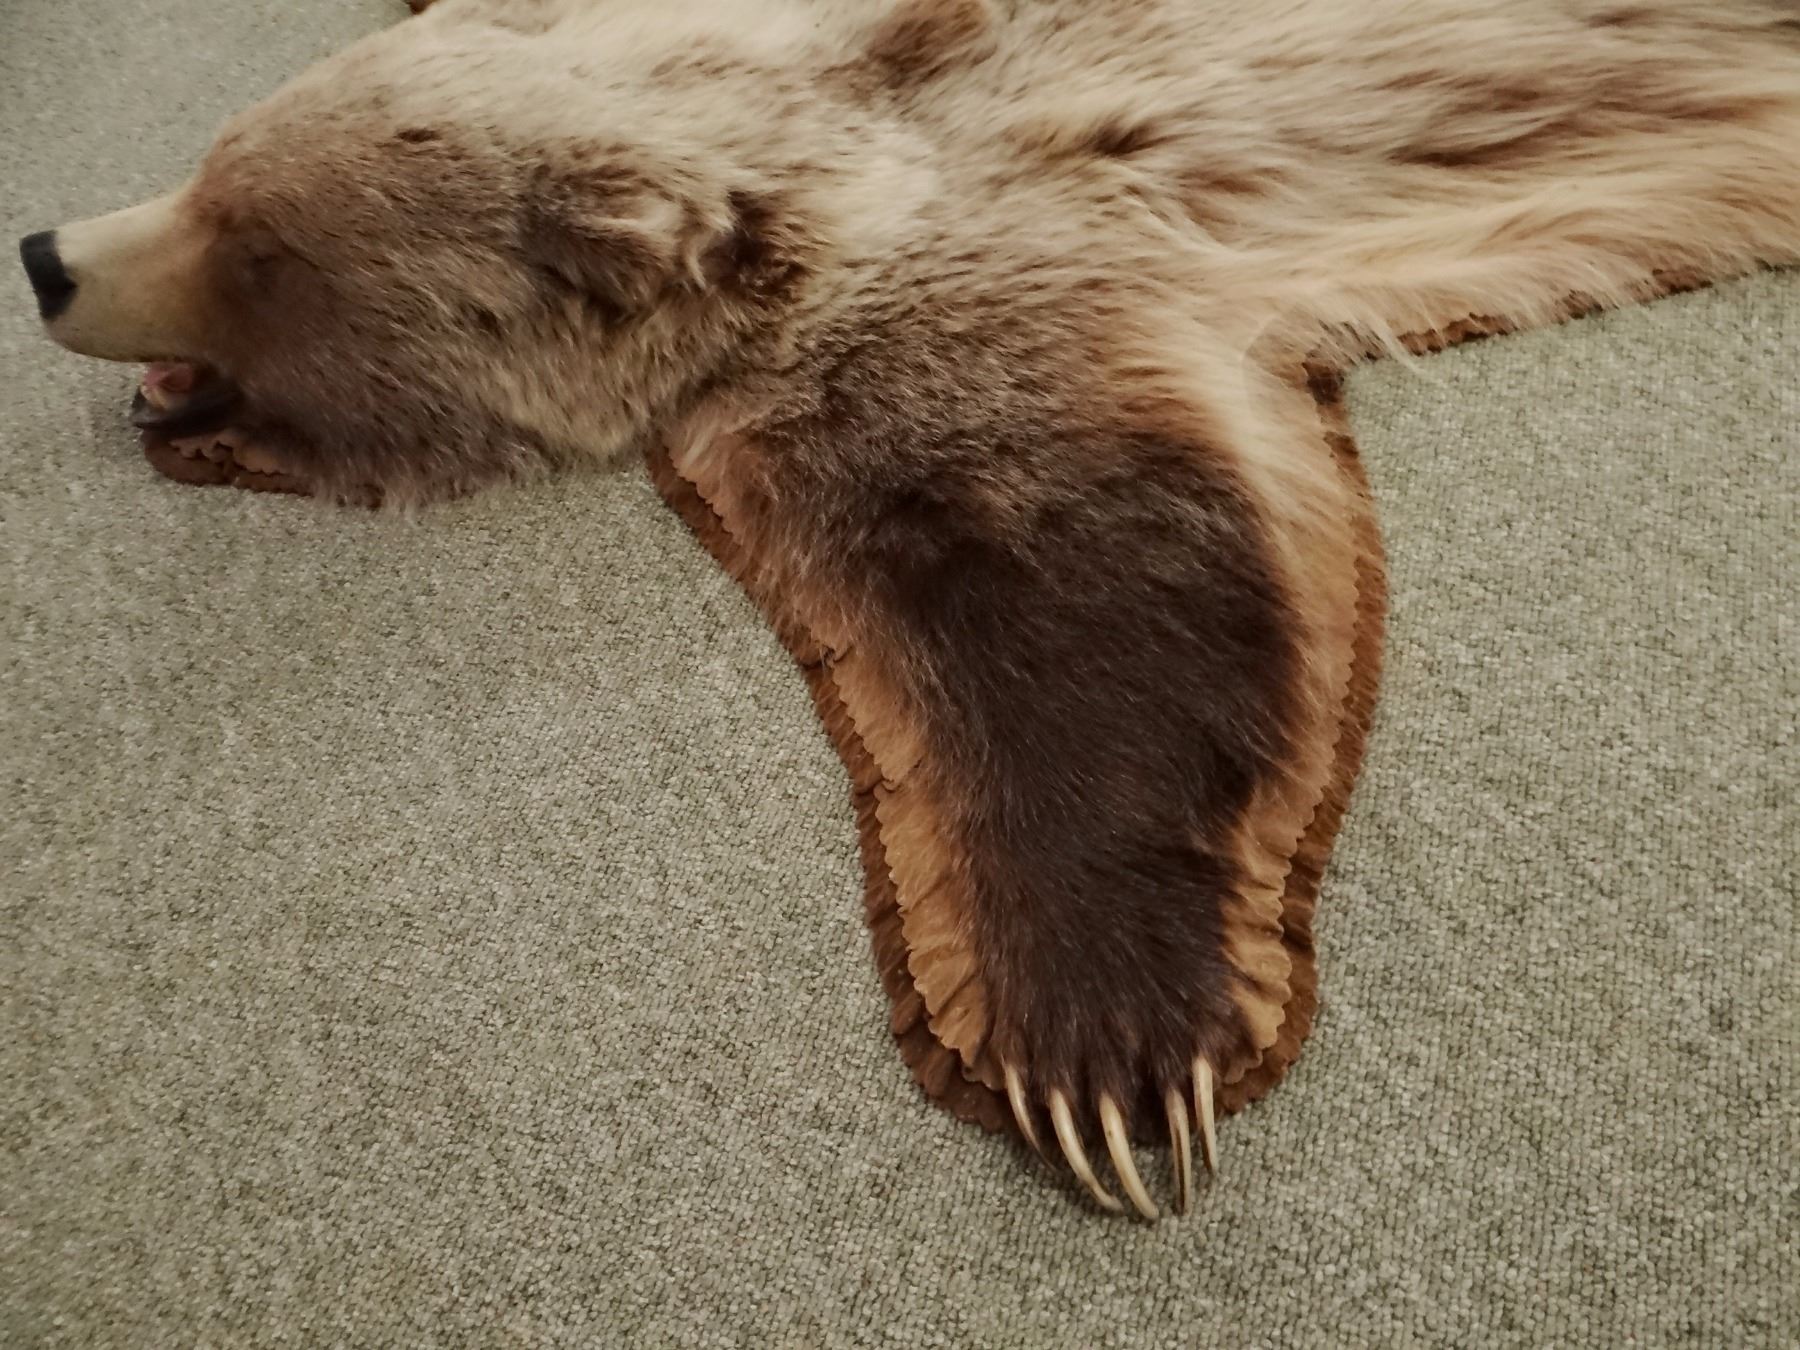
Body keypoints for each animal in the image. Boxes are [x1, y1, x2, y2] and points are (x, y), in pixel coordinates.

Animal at [19, 0, 1800, 1218]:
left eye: (254, 245)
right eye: (211, 166)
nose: (44, 249)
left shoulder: (960, 284)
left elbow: (1082, 570)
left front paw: (1108, 1055)